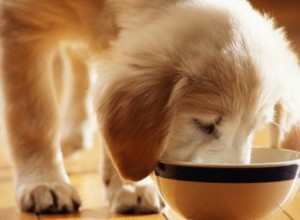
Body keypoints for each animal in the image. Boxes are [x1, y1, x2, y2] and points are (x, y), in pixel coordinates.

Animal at [0, 0, 300, 215]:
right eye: (205, 124)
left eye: (255, 130)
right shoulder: (18, 23)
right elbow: (34, 118)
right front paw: (45, 182)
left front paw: (129, 186)